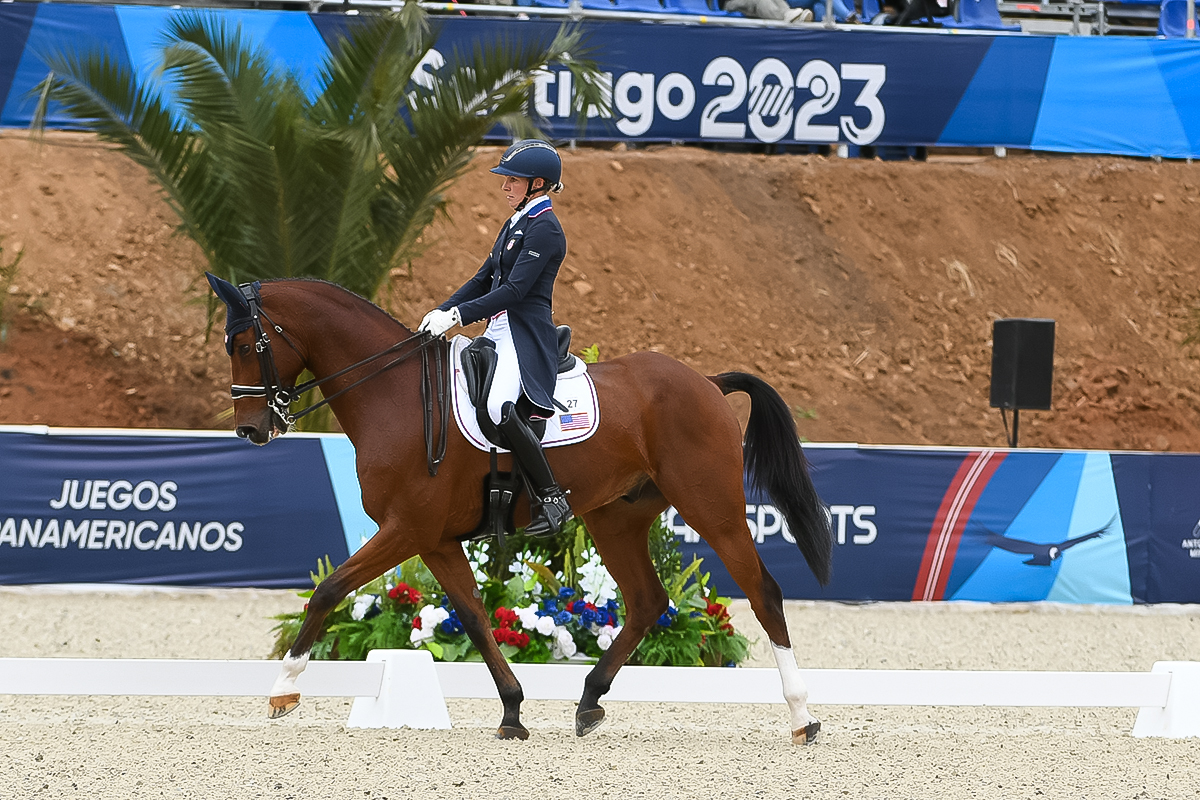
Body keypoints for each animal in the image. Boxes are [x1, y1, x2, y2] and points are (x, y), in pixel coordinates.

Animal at [208, 273, 835, 743]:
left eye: (243, 345)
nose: (251, 430)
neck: (396, 396)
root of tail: (705, 381)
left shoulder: (406, 528)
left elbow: (329, 590)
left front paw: (283, 690)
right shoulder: (434, 538)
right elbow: (474, 617)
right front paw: (512, 711)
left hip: (713, 507)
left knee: (763, 592)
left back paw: (803, 717)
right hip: (615, 517)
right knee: (646, 601)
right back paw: (588, 701)